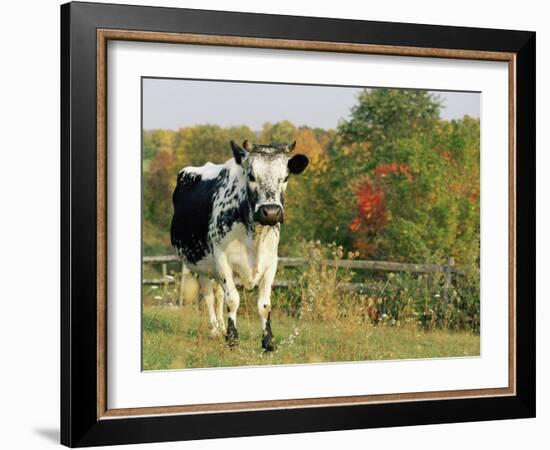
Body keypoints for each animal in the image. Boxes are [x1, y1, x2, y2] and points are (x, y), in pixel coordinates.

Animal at [171, 141, 310, 352]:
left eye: (285, 177)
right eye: (251, 176)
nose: (271, 212)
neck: (255, 236)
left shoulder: (271, 262)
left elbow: (264, 305)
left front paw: (268, 342)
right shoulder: (222, 259)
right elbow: (233, 299)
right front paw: (232, 339)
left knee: (218, 294)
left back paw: (220, 327)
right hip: (202, 266)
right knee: (209, 296)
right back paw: (215, 329)